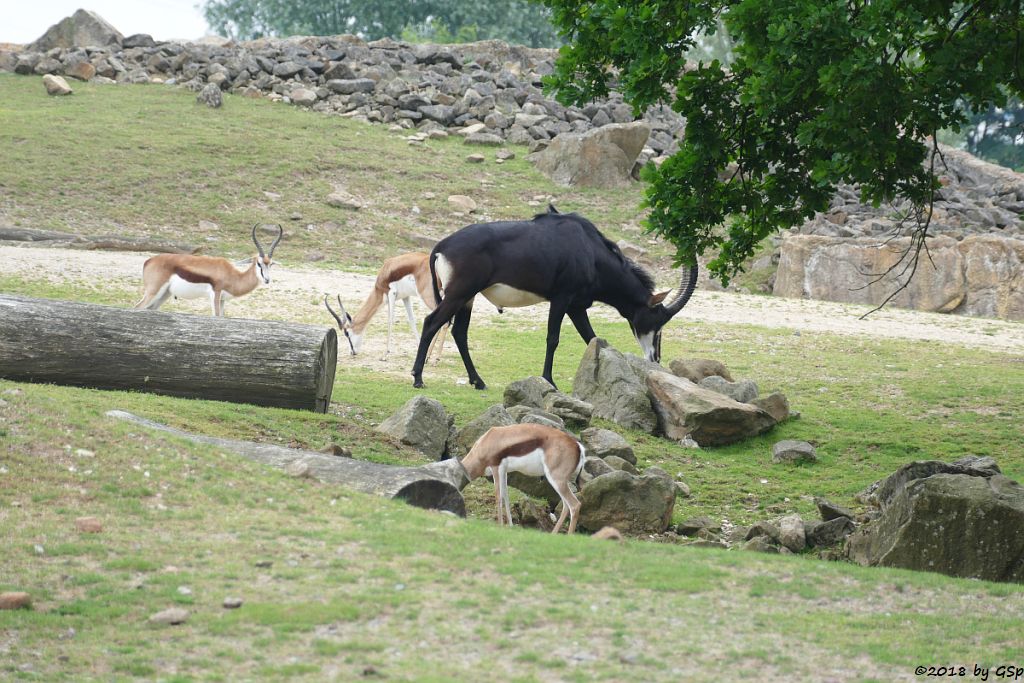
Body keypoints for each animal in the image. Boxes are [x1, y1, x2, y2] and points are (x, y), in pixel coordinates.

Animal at [134, 227, 284, 317]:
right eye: (259, 263)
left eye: (270, 264)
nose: (267, 280)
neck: (232, 275)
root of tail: (149, 260)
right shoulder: (215, 294)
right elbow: (216, 316)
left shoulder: (223, 300)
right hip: (153, 291)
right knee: (137, 307)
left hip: (165, 294)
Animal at [411, 205, 700, 389]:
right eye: (657, 319)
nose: (655, 359)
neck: (590, 251)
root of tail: (442, 246)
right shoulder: (562, 298)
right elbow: (553, 338)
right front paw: (548, 380)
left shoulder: (577, 306)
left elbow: (591, 338)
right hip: (459, 294)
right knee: (431, 322)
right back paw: (418, 378)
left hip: (467, 298)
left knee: (459, 332)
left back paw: (478, 382)